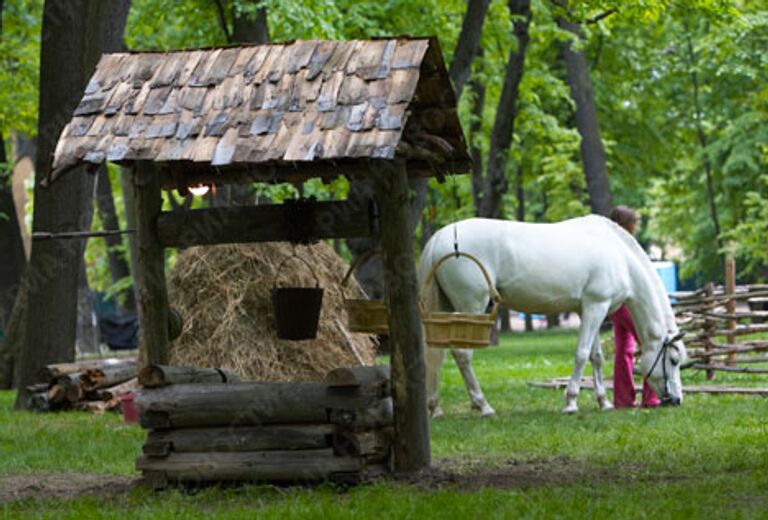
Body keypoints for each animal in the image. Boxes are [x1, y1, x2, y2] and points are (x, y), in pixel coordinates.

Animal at [424, 213, 688, 416]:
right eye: (674, 360)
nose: (677, 400)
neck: (620, 257)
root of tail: (441, 236)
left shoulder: (590, 310)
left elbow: (596, 357)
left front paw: (604, 402)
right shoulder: (596, 307)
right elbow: (582, 354)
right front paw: (571, 403)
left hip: (446, 310)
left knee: (437, 353)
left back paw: (436, 408)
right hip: (472, 307)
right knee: (462, 354)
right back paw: (484, 406)